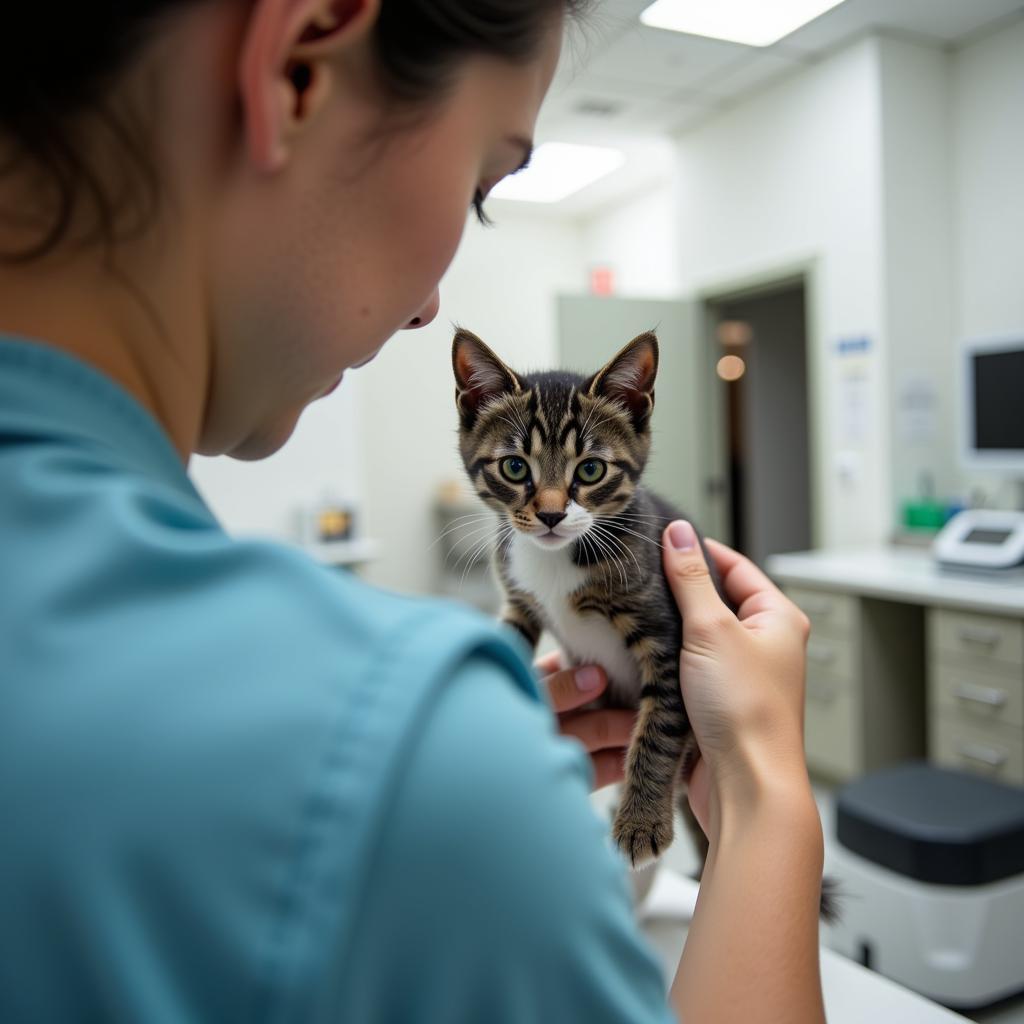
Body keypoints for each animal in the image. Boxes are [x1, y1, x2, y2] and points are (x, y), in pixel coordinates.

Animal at [452, 327, 716, 872]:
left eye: (591, 470)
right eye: (515, 467)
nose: (552, 515)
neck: (557, 557)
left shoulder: (668, 628)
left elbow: (662, 723)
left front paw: (641, 823)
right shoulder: (518, 597)